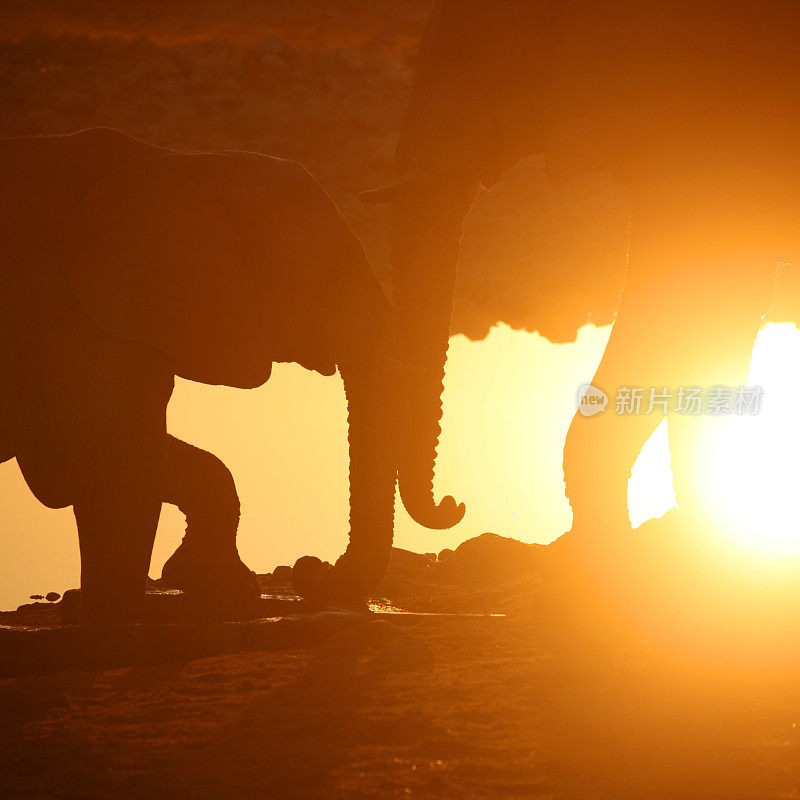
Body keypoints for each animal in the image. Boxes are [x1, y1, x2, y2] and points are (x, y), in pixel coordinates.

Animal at [0, 128, 446, 620]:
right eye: (330, 275)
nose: (312, 571)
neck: (183, 162)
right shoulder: (83, 320)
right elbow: (114, 459)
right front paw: (114, 616)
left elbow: (105, 459)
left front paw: (212, 583)